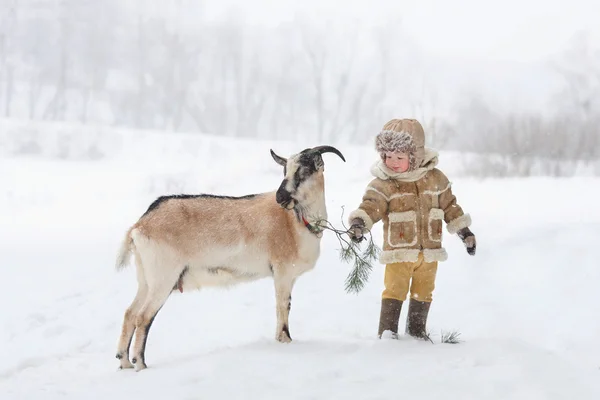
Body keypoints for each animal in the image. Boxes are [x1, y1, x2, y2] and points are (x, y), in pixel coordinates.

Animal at [114, 145, 344, 370]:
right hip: (163, 278)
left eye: (303, 171)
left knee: (130, 313)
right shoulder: (282, 272)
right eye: (285, 170)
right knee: (143, 317)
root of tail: (139, 226)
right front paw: (285, 340)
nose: (280, 198)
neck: (295, 221)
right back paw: (140, 363)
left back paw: (124, 361)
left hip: (146, 279)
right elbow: (283, 306)